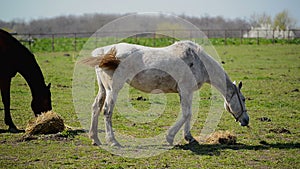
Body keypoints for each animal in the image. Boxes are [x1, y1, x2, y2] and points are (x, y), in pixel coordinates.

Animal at [81, 40, 250, 146]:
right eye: (243, 99)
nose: (246, 120)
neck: (198, 61)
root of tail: (104, 52)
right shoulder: (185, 90)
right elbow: (186, 114)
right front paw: (170, 137)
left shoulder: (187, 92)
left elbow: (188, 114)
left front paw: (189, 138)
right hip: (113, 89)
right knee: (107, 111)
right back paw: (113, 141)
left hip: (103, 89)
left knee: (96, 107)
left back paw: (95, 138)